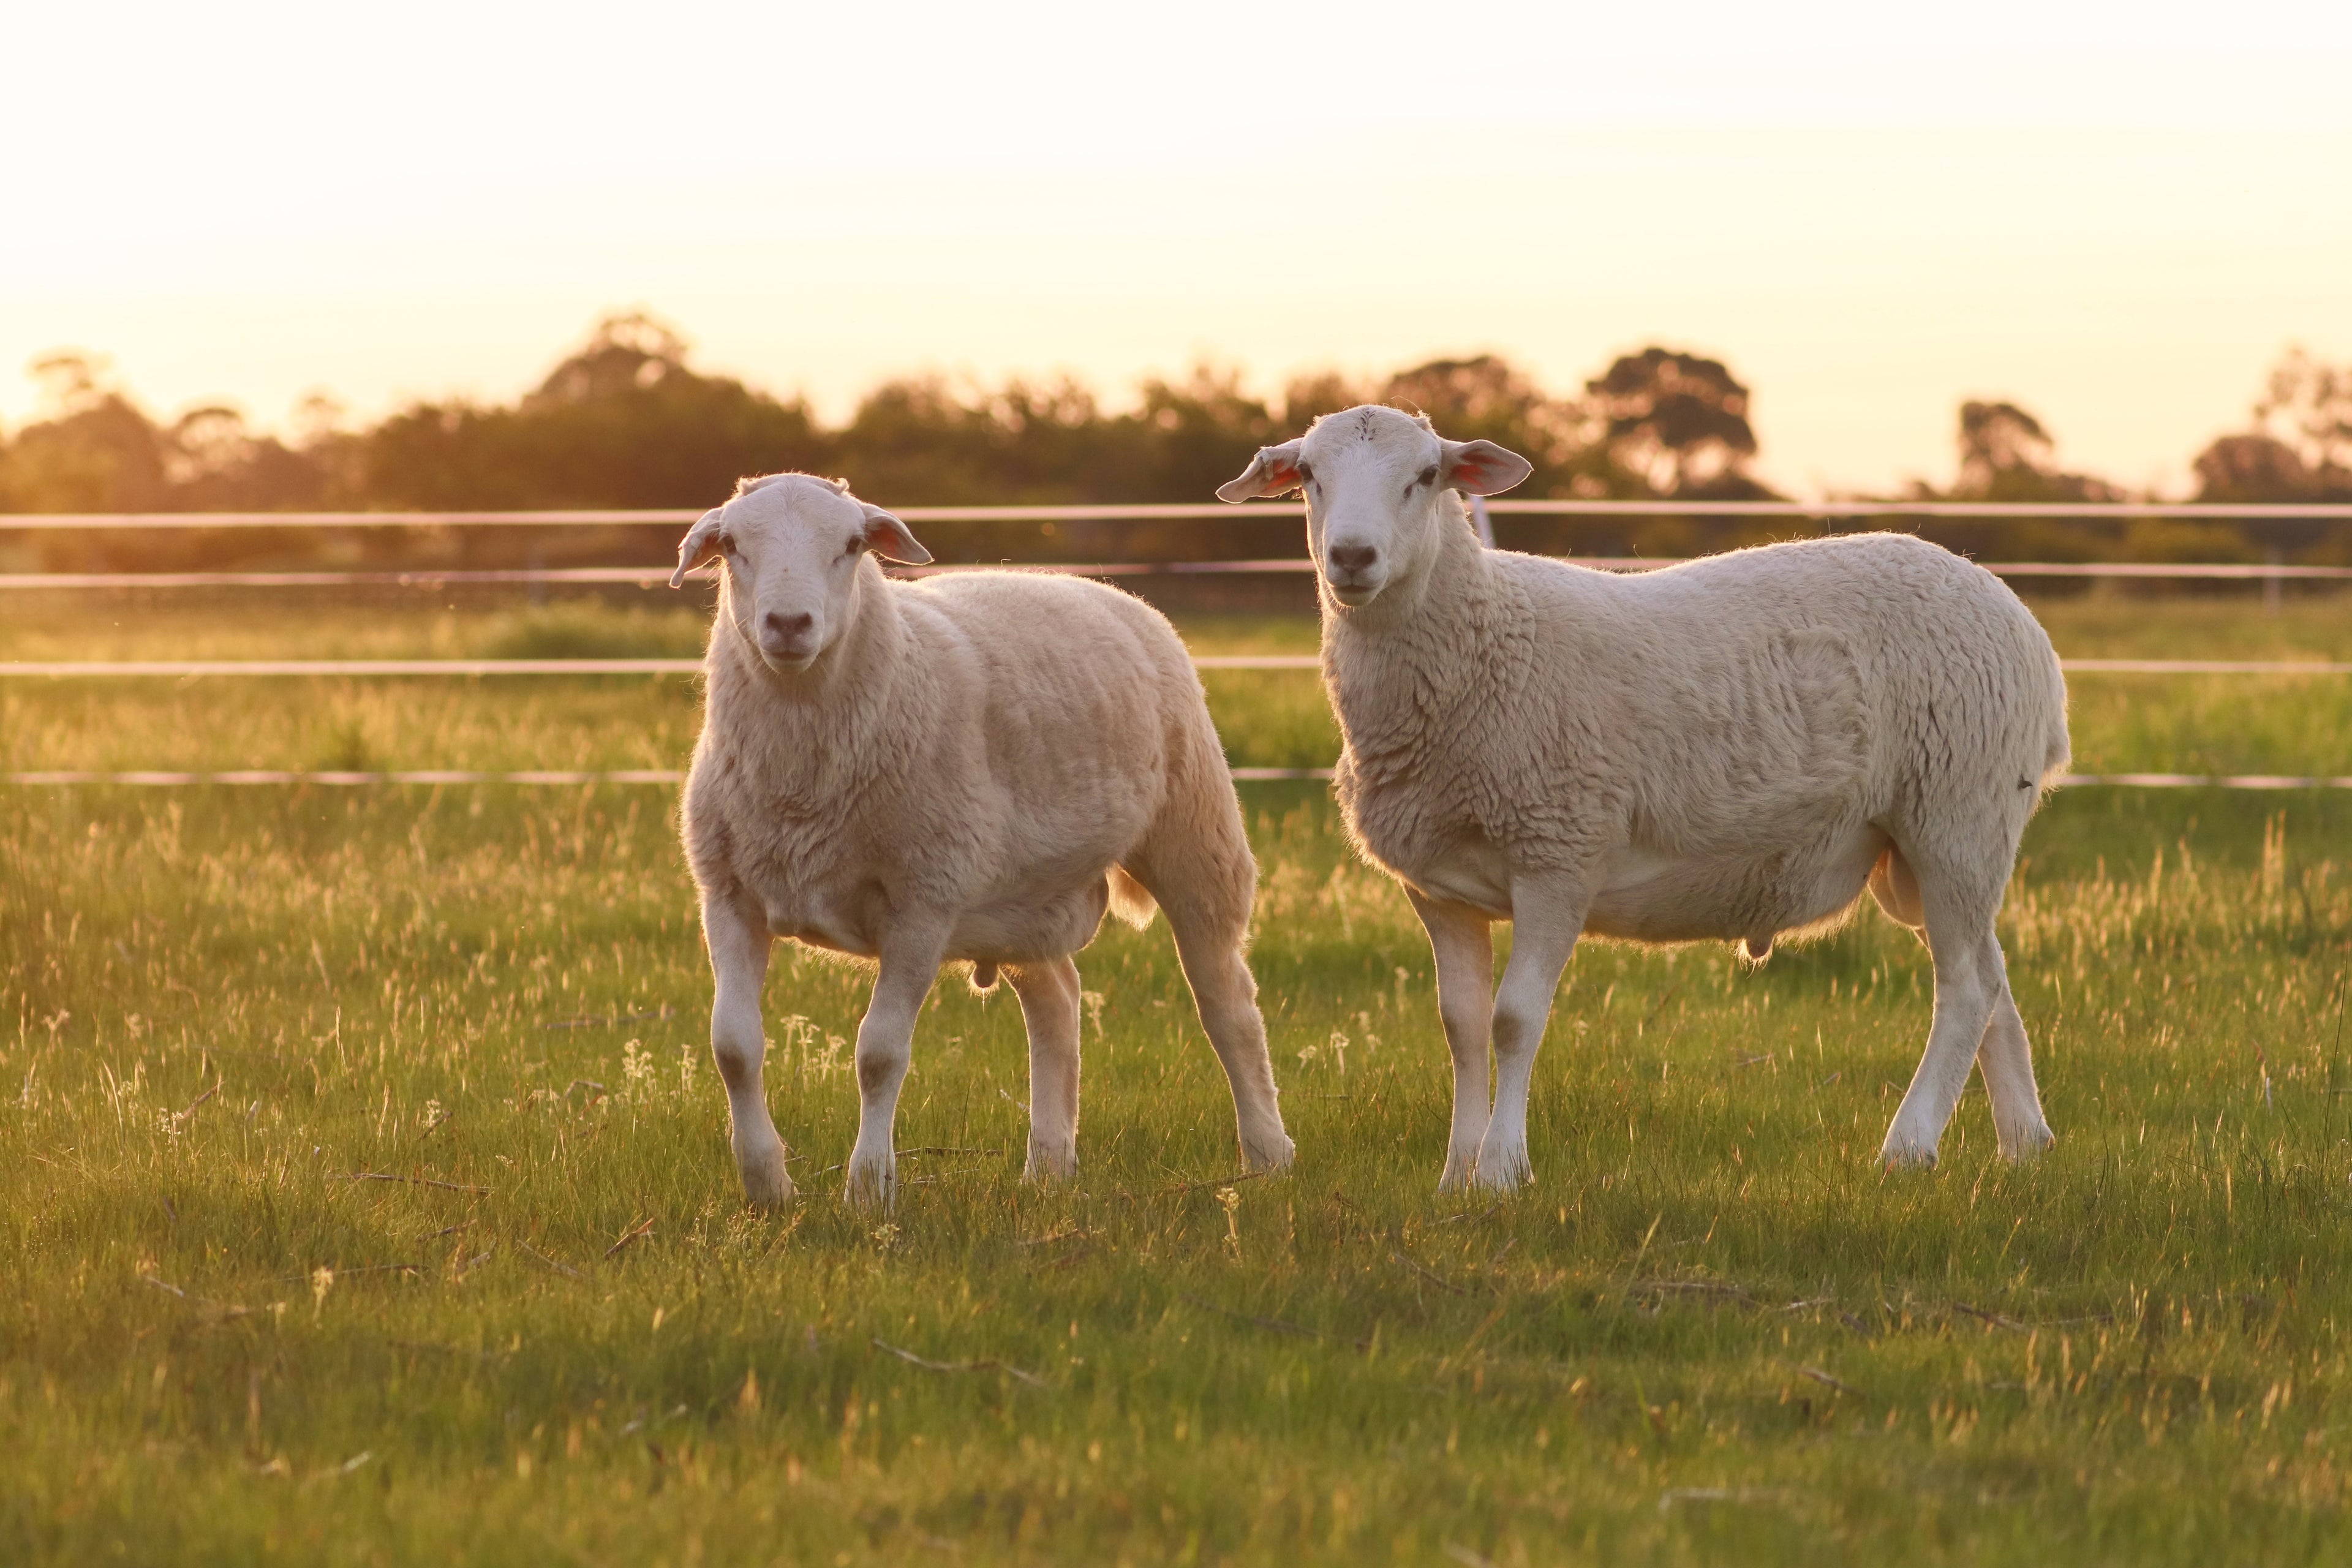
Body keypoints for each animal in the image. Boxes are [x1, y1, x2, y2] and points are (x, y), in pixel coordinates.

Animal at [671, 472, 1294, 1209]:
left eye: (851, 545)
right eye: (733, 545)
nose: (789, 625)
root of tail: (1100, 590)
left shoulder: (923, 902)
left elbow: (879, 1053)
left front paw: (868, 1189)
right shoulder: (729, 893)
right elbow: (734, 1046)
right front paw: (767, 1187)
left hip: (1195, 837)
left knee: (1228, 1005)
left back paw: (1268, 1154)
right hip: (1022, 897)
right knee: (1057, 999)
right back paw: (1048, 1166)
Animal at [1217, 406, 2069, 1190]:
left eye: (1426, 476)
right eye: (1309, 476)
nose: (1352, 557)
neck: (1482, 643)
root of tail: (2021, 620)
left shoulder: (1559, 853)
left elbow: (1514, 1020)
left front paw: (1501, 1170)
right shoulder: (1439, 887)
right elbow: (1460, 1025)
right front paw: (1456, 1173)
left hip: (1958, 810)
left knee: (1964, 990)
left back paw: (1908, 1147)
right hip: (1928, 843)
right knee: (1992, 981)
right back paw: (2024, 1144)